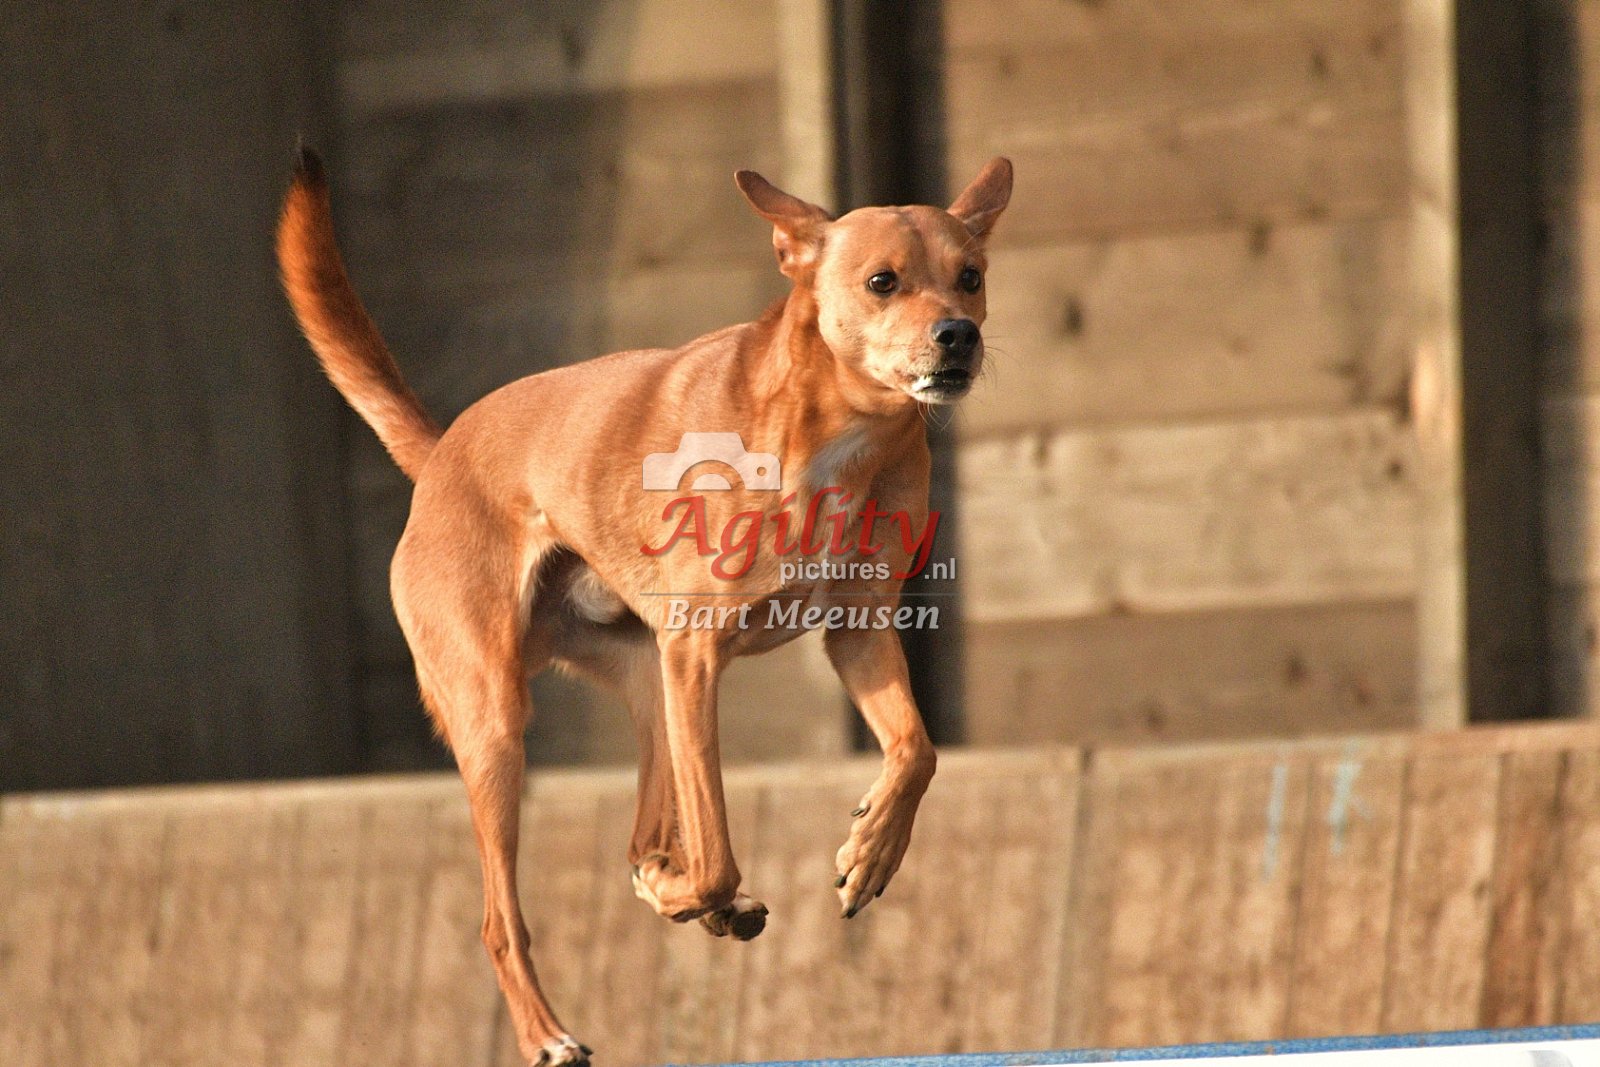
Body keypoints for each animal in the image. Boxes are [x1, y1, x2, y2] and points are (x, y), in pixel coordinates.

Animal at [276, 148, 1011, 1066]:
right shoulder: (694, 655)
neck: (838, 431)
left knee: (639, 840)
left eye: (970, 277)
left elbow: (916, 751)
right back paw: (551, 1030)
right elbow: (717, 851)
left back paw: (669, 888)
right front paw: (701, 890)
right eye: (884, 281)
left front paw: (872, 848)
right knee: (499, 920)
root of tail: (443, 453)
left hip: (645, 690)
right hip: (497, 723)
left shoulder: (858, 633)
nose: (958, 336)